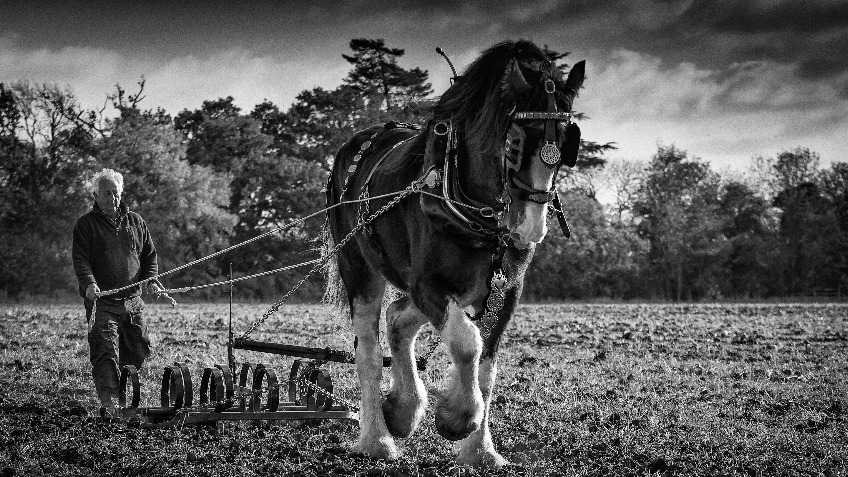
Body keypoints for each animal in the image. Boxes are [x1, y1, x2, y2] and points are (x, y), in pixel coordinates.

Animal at [324, 40, 585, 468]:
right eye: (516, 140)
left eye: (568, 143)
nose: (531, 228)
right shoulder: (429, 284)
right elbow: (466, 343)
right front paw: (457, 418)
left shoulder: (505, 290)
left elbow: (486, 367)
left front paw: (481, 451)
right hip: (360, 268)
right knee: (369, 352)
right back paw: (377, 439)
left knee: (397, 318)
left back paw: (403, 409)